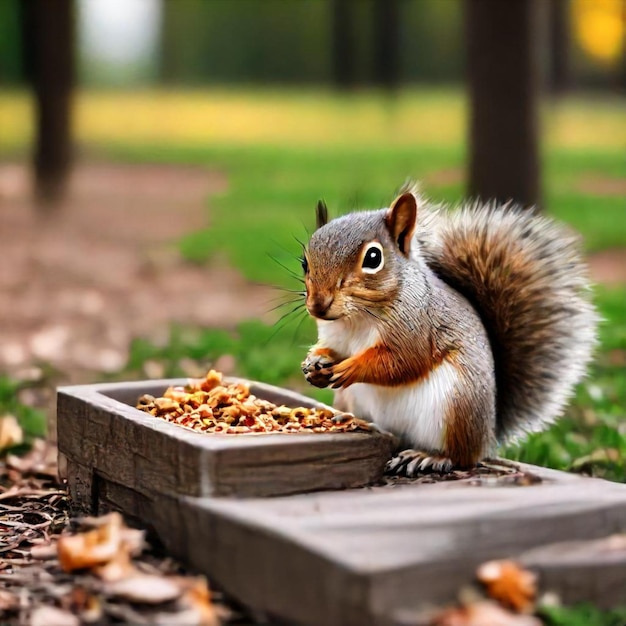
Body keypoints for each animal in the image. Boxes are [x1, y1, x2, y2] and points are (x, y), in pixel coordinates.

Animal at [300, 185, 596, 472]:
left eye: (373, 258)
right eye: (305, 262)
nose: (318, 306)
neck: (356, 319)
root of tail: (486, 436)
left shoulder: (418, 329)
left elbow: (402, 362)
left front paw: (350, 367)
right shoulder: (336, 336)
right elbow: (334, 350)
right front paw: (314, 362)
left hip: (455, 406)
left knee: (460, 457)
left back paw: (428, 457)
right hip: (353, 398)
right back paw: (352, 419)